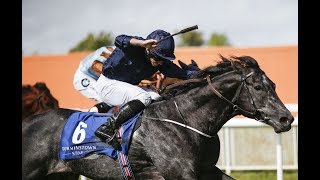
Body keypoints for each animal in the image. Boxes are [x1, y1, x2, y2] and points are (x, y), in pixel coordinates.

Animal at [21, 55, 294, 179]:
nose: (286, 119)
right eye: (258, 87)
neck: (186, 120)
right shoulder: (179, 174)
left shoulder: (205, 169)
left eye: (273, 85)